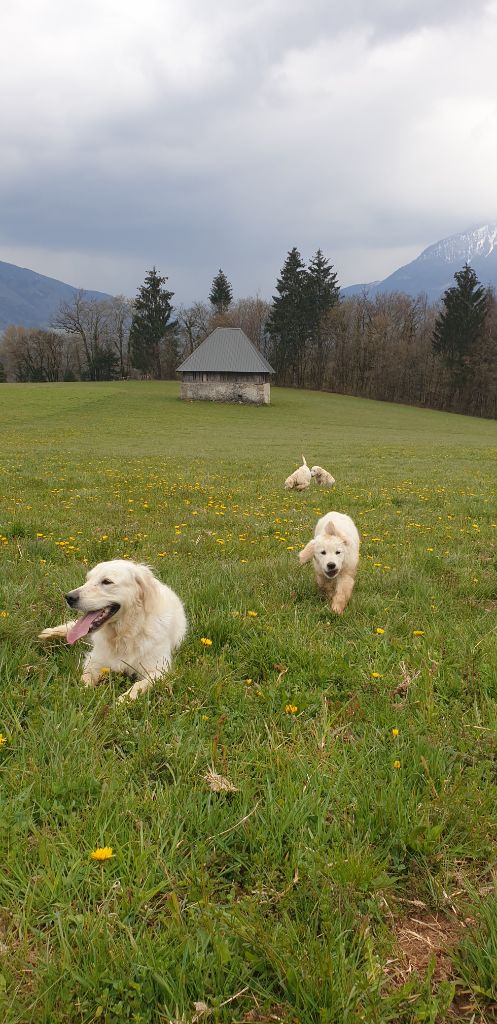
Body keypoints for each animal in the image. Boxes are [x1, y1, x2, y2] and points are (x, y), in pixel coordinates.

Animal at [38, 561, 186, 704]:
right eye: (87, 579)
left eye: (107, 581)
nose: (69, 597)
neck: (124, 634)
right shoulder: (94, 660)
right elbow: (85, 679)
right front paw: (82, 694)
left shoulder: (158, 669)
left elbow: (138, 686)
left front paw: (121, 702)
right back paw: (50, 633)